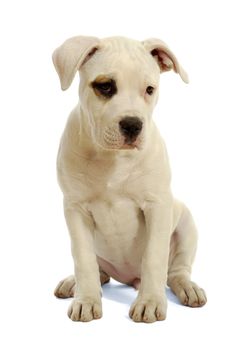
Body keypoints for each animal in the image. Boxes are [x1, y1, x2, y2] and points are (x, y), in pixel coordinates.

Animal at [52, 35, 207, 322]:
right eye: (105, 86)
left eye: (150, 89)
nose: (133, 125)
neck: (112, 158)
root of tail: (128, 278)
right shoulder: (75, 209)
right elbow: (83, 259)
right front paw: (86, 300)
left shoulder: (157, 206)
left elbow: (154, 257)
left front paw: (150, 302)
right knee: (98, 269)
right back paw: (74, 283)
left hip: (186, 224)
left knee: (176, 270)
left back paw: (187, 288)